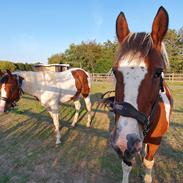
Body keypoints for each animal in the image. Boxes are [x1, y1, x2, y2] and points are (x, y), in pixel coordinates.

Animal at [103, 6, 173, 183]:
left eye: (158, 72)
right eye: (115, 72)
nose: (124, 142)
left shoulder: (155, 143)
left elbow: (148, 164)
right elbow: (127, 164)